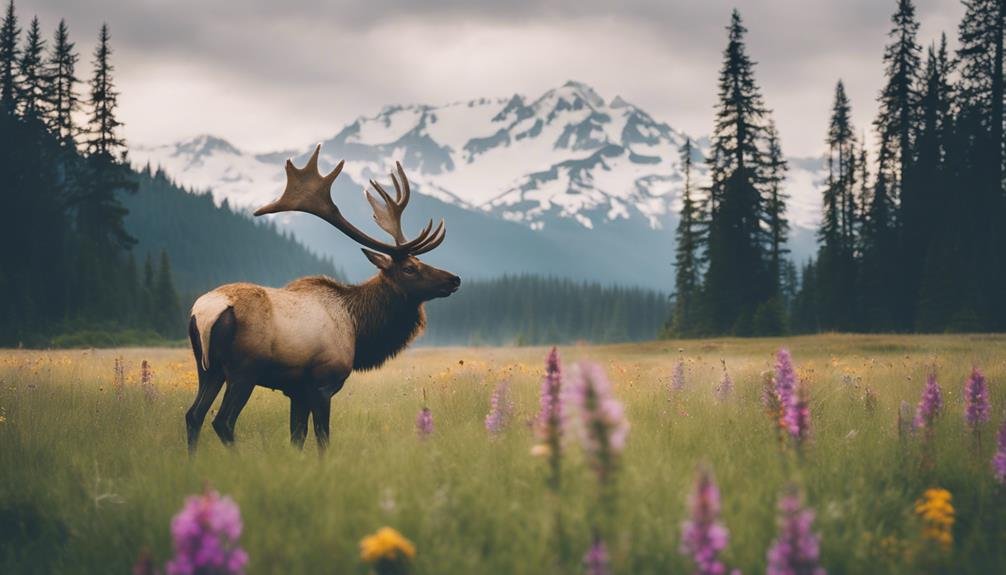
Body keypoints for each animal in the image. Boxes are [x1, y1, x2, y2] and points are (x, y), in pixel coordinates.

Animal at [185, 145, 460, 452]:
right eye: (410, 268)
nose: (454, 279)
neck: (359, 329)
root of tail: (205, 312)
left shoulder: (296, 391)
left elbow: (297, 436)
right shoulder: (322, 384)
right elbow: (322, 437)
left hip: (207, 368)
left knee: (194, 415)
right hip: (244, 370)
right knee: (222, 421)